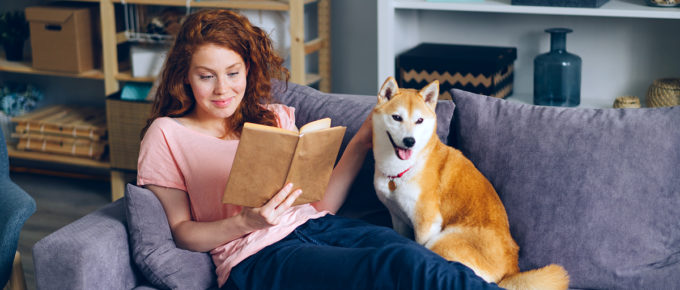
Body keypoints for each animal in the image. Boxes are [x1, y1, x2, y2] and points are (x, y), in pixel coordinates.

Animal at [372, 77, 568, 290]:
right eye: (396, 117)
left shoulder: (426, 221)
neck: (400, 172)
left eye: (419, 120)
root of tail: (510, 272)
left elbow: (418, 245)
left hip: (442, 241)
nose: (410, 141)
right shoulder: (397, 217)